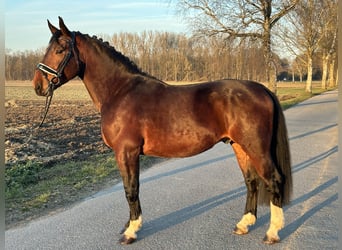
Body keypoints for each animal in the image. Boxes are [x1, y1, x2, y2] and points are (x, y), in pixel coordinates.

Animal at [32, 17, 292, 244]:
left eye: (59, 50)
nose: (38, 86)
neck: (120, 91)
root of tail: (262, 90)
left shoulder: (126, 152)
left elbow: (131, 190)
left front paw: (131, 231)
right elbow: (131, 189)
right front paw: (129, 225)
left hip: (256, 148)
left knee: (274, 179)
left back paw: (272, 233)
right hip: (239, 146)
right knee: (251, 182)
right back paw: (244, 225)